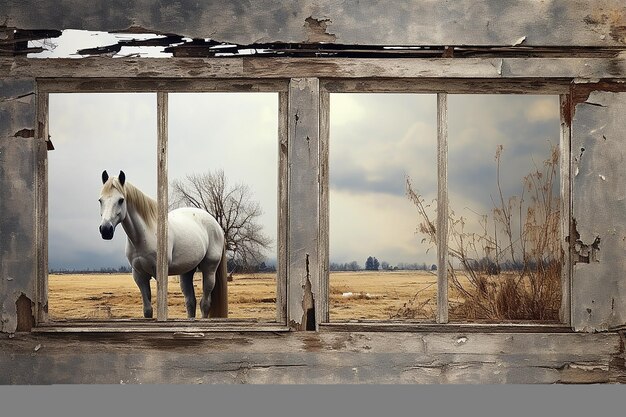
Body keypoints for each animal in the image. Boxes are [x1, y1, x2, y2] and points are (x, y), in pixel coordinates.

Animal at [96, 171, 225, 316]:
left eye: (121, 200)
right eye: (100, 200)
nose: (106, 230)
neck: (145, 234)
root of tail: (216, 225)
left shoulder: (160, 275)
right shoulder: (139, 276)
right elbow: (147, 310)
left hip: (209, 269)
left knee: (205, 304)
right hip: (186, 272)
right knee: (191, 302)